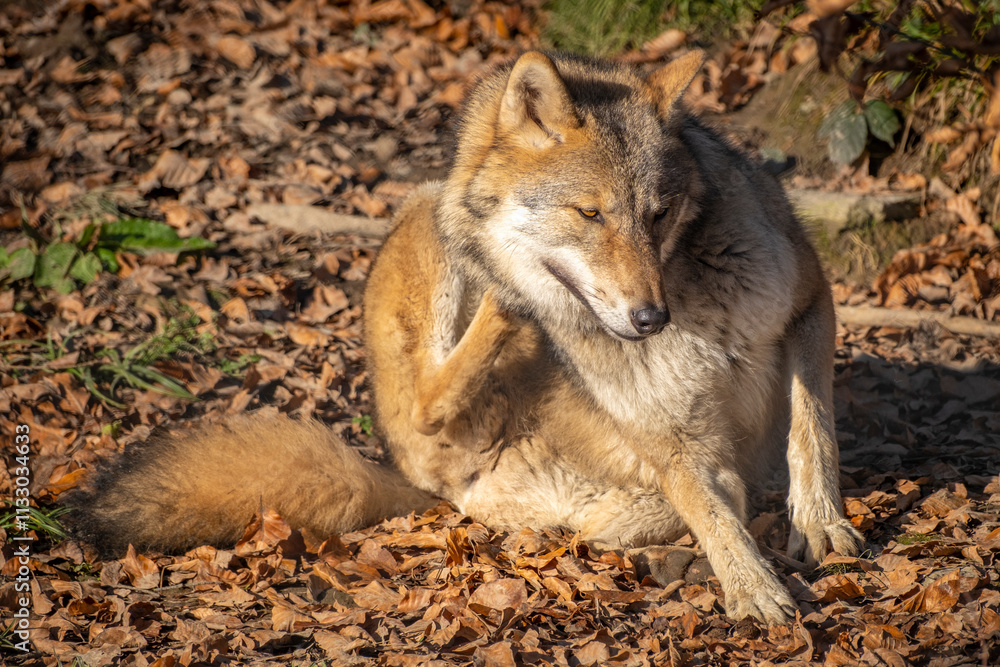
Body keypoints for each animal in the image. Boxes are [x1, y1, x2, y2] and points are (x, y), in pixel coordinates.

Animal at [70, 51, 862, 624]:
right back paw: (508, 303)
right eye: (590, 214)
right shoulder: (666, 434)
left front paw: (820, 525)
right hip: (432, 232)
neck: (692, 300)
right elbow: (716, 507)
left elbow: (812, 425)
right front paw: (751, 584)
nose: (649, 319)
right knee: (433, 395)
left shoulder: (811, 302)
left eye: (659, 214)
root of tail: (405, 481)